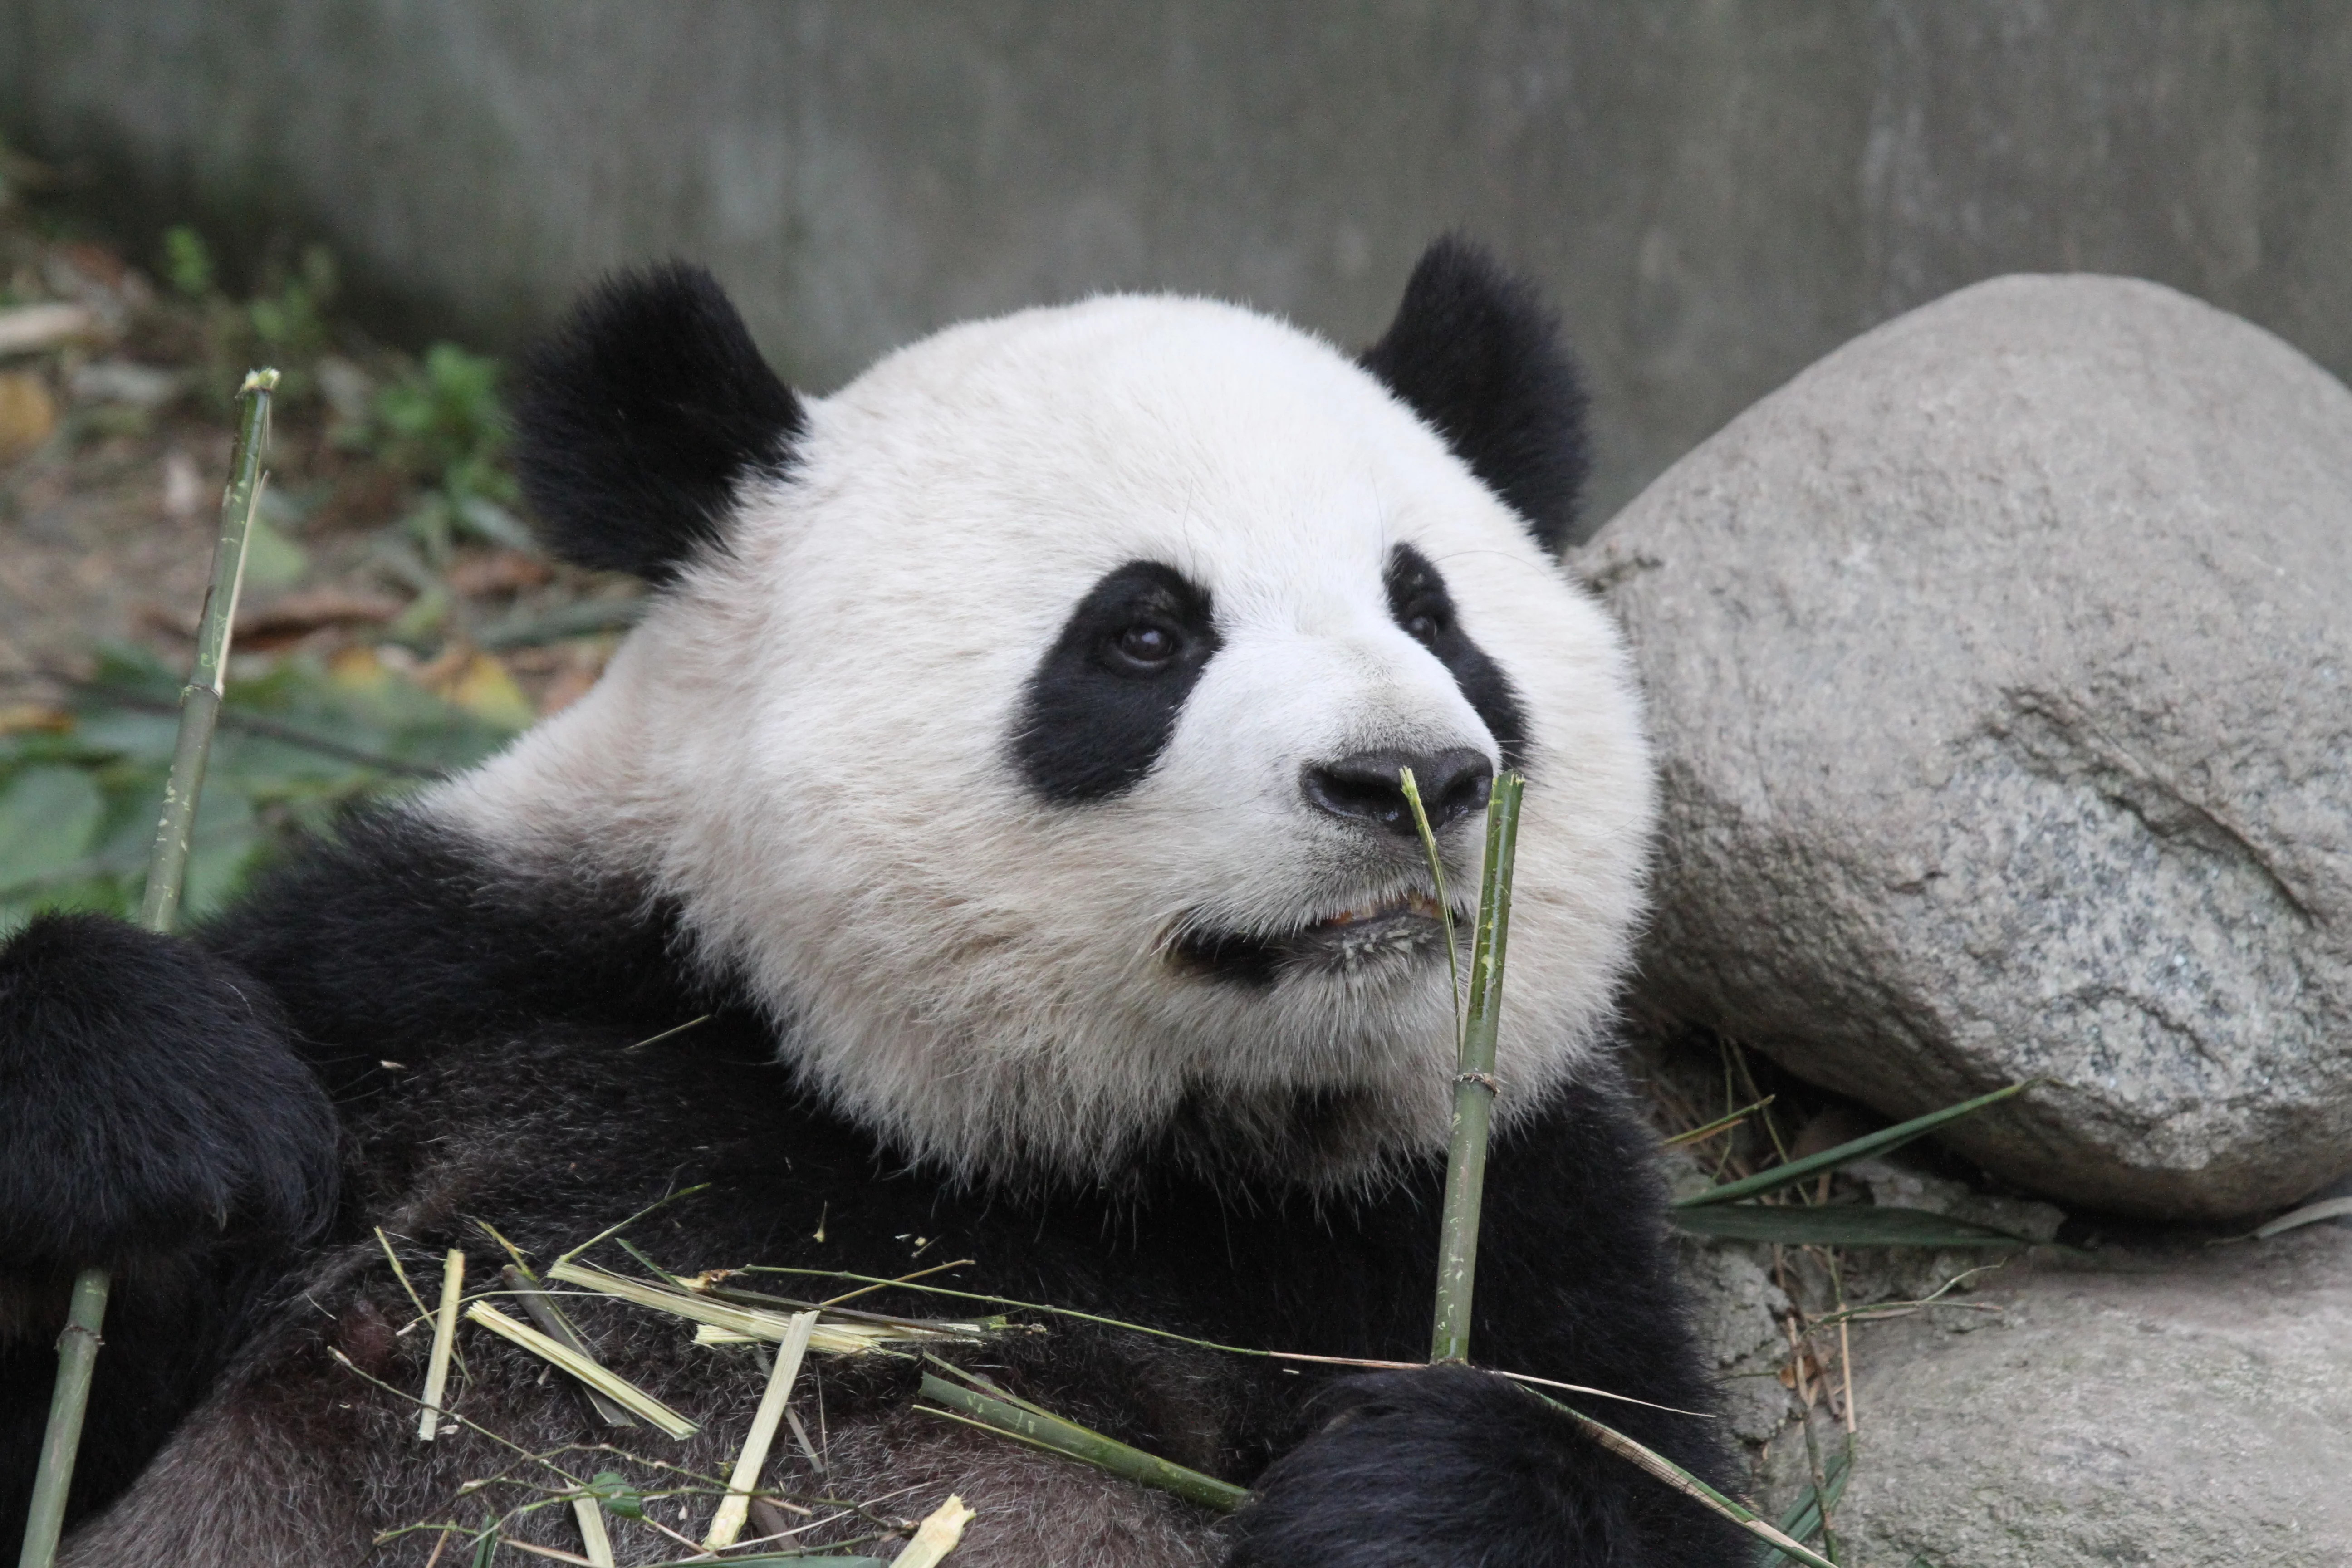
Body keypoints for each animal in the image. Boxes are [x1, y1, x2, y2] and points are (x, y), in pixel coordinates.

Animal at [0, 238, 1740, 1566]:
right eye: (1145, 634)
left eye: (1431, 614)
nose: (1408, 776)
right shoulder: (458, 991)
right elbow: (78, 1397)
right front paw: (147, 1103)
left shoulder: (1478, 1198)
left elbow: (1643, 1472)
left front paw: (1406, 1491)